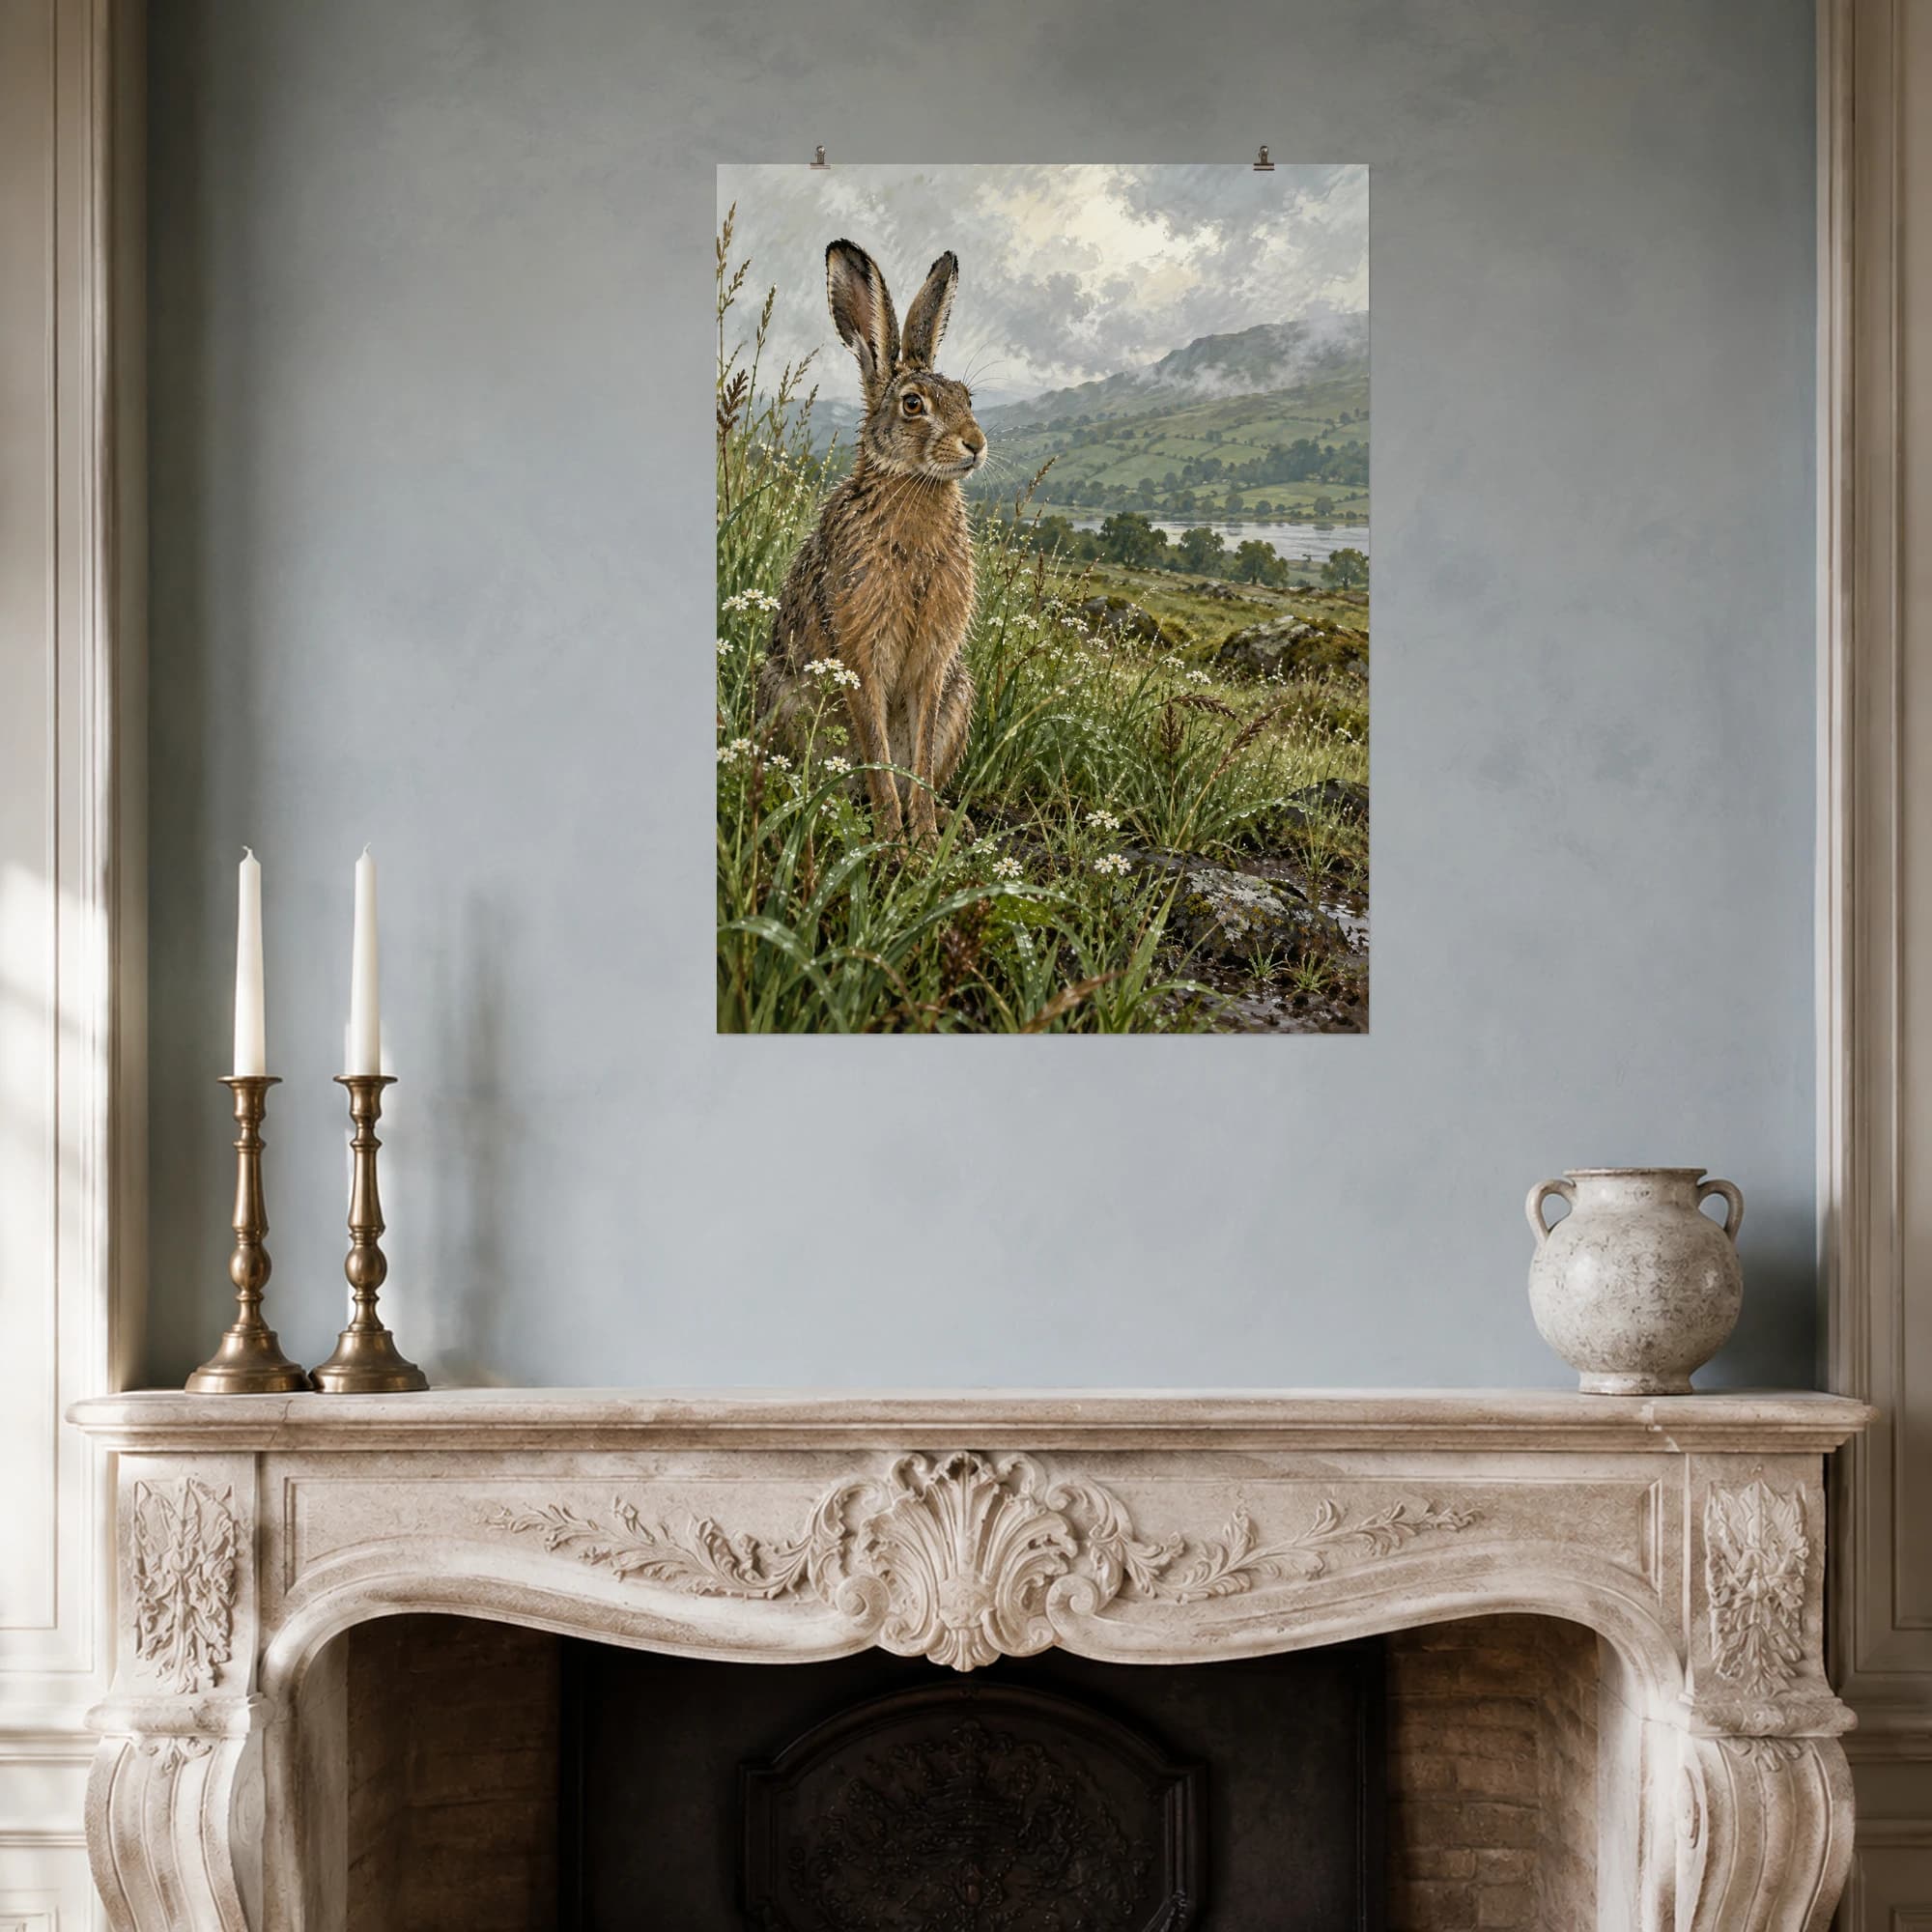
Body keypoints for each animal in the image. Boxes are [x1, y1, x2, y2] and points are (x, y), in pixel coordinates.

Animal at [758, 240, 986, 845]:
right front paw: (892, 839)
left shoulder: (935, 665)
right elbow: (878, 748)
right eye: (912, 404)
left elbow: (919, 758)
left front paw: (923, 836)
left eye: (967, 398)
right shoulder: (861, 651)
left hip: (961, 695)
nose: (975, 444)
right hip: (786, 699)